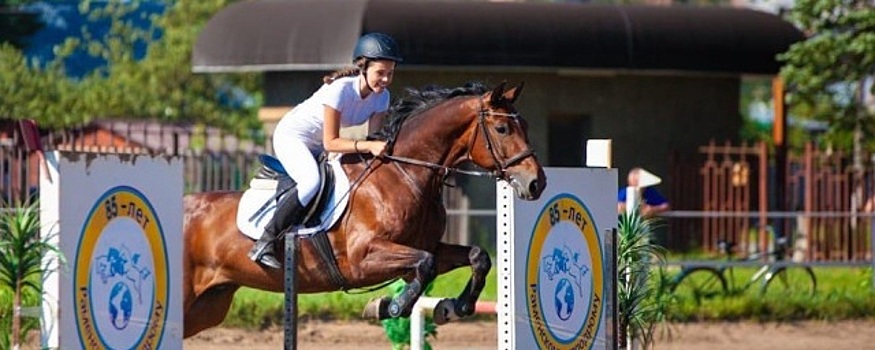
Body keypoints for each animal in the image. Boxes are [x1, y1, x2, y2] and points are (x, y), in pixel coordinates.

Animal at [181, 80, 544, 338]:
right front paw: (389, 306)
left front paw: (453, 307)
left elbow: (476, 256)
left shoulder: (425, 247)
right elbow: (424, 266)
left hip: (208, 306)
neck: (404, 174)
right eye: (502, 129)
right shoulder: (363, 258)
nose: (536, 183)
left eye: (526, 126)